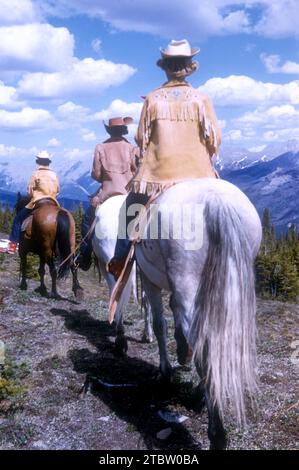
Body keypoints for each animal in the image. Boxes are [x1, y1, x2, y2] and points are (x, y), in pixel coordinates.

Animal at [126, 178, 262, 450]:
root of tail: (216, 201)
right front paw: (181, 352)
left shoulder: (150, 280)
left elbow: (159, 323)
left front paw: (165, 372)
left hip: (187, 282)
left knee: (205, 350)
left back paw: (216, 433)